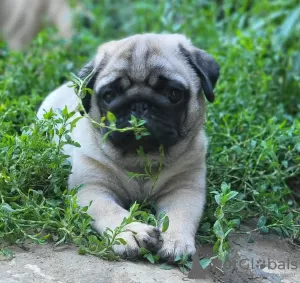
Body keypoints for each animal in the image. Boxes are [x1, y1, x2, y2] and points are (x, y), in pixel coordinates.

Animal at [37, 33, 220, 262]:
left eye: (173, 93)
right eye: (109, 96)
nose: (139, 104)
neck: (141, 160)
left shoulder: (184, 189)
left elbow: (180, 214)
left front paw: (175, 239)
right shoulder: (92, 189)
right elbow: (111, 211)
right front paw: (131, 233)